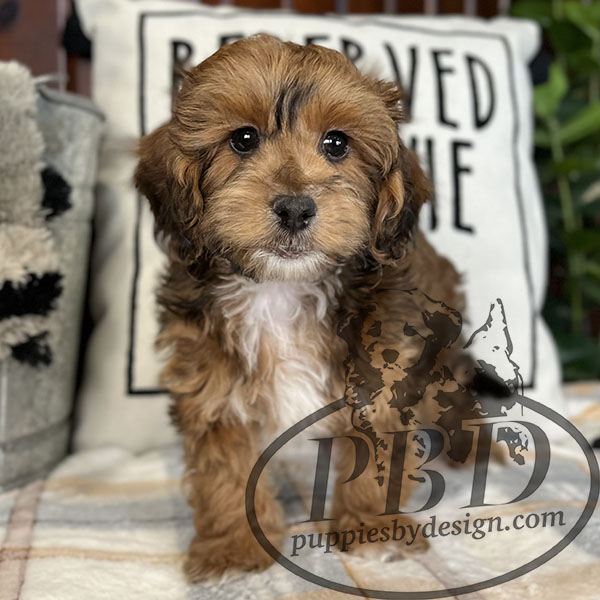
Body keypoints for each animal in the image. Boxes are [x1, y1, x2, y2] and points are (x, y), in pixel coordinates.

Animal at [134, 34, 482, 580]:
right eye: (243, 139)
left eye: (336, 143)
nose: (296, 207)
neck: (281, 288)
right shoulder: (211, 384)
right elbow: (223, 469)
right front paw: (234, 546)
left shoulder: (381, 372)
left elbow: (379, 449)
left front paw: (371, 529)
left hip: (439, 350)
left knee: (456, 397)